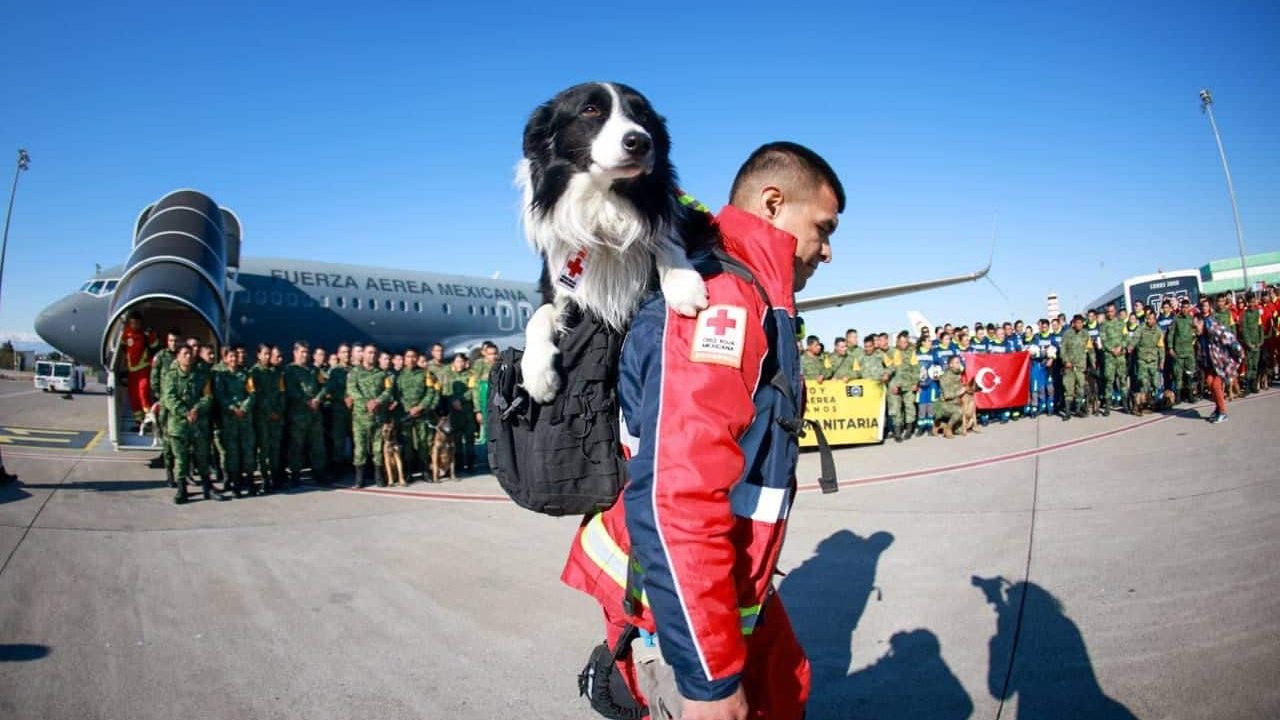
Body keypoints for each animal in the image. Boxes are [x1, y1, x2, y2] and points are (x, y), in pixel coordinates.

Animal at [519, 82, 721, 404]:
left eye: (644, 116)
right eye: (590, 110)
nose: (640, 142)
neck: (605, 202)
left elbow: (665, 236)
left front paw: (683, 283)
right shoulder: (555, 279)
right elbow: (539, 315)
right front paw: (538, 373)